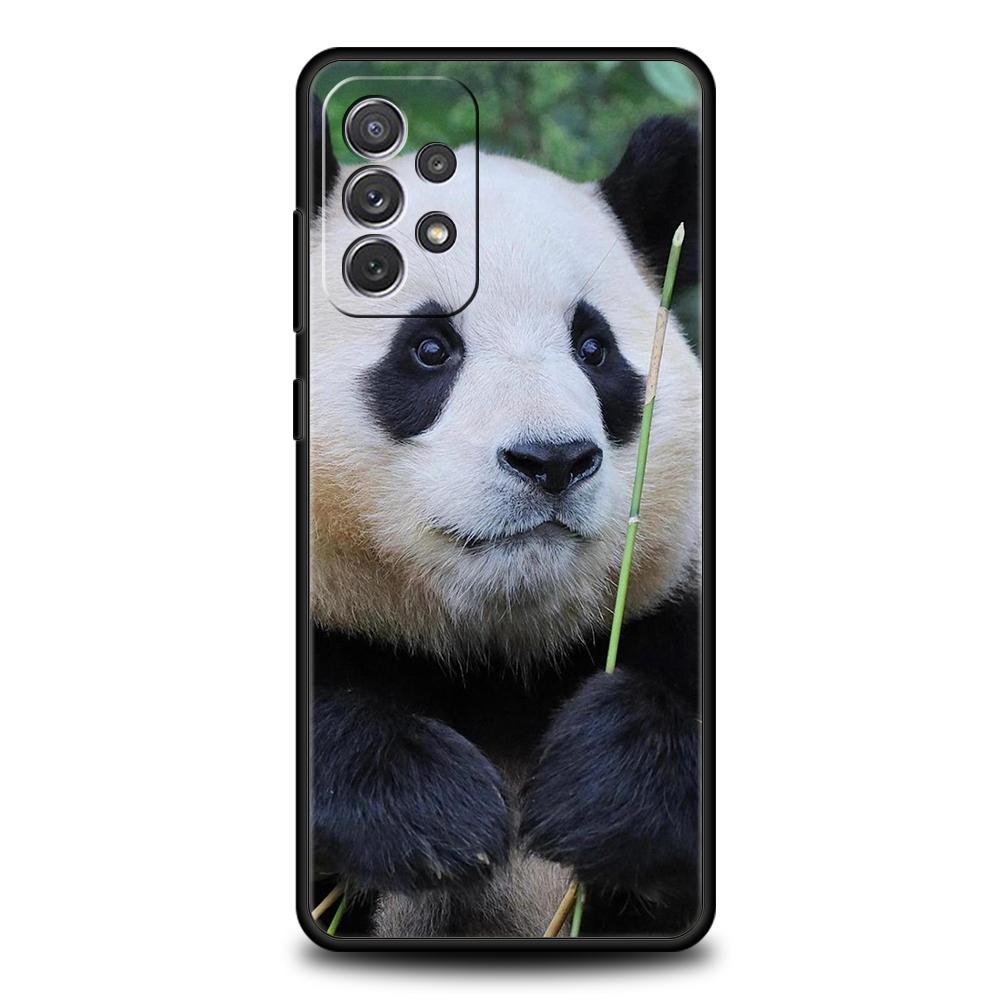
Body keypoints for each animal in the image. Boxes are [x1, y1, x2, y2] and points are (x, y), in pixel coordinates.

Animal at [307, 103, 704, 938]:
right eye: (429, 348)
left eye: (593, 349)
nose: (552, 461)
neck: (494, 662)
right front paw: (435, 814)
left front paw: (600, 785)